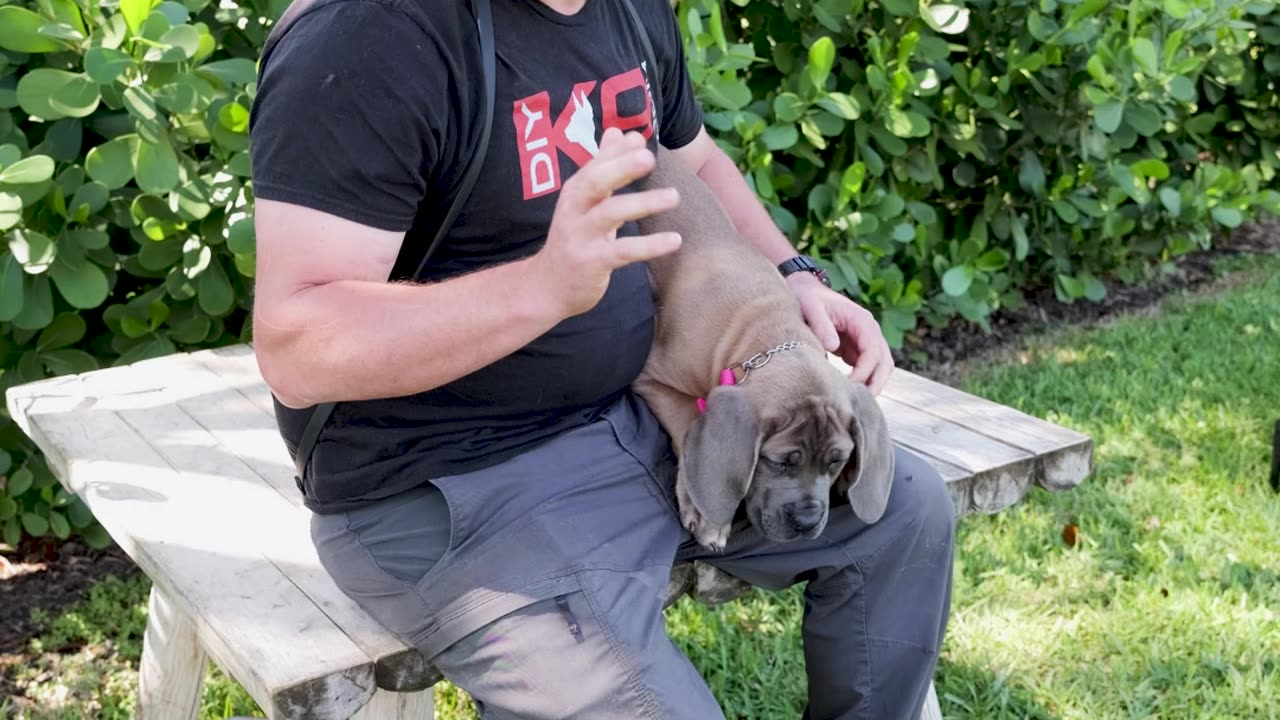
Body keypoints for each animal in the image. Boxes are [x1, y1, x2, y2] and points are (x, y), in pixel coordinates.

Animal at [632, 146, 896, 548]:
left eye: (836, 461)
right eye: (780, 462)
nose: (807, 521)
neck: (765, 332)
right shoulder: (650, 373)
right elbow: (688, 417)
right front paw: (705, 510)